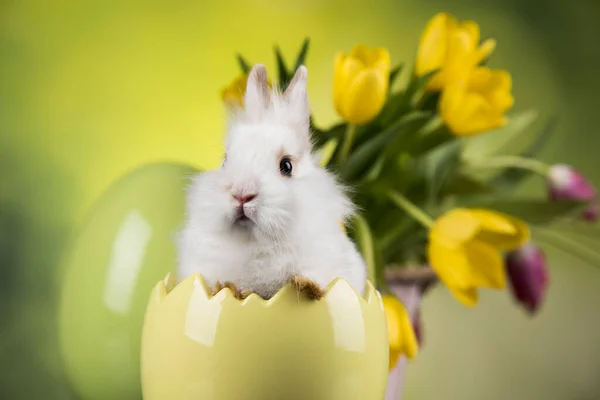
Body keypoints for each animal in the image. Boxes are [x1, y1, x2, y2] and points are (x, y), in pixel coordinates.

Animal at [175, 63, 366, 300]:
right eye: (225, 160)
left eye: (287, 166)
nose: (242, 194)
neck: (257, 246)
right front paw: (227, 288)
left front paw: (307, 286)